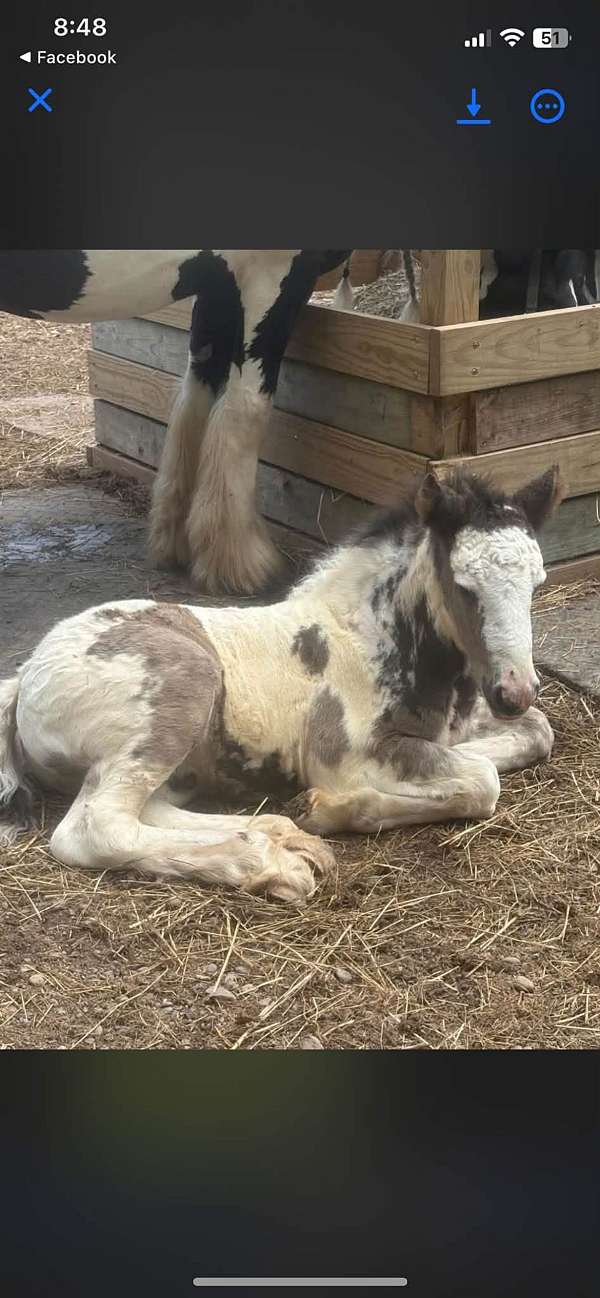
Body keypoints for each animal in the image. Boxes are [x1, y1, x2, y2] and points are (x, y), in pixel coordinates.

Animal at [0, 467, 561, 904]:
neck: (375, 636)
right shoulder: (345, 755)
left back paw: (277, 833)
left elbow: (537, 733)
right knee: (96, 828)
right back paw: (270, 865)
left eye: (537, 584)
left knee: (147, 808)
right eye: (464, 586)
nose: (514, 691)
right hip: (180, 694)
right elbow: (483, 781)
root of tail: (26, 676)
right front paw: (331, 807)